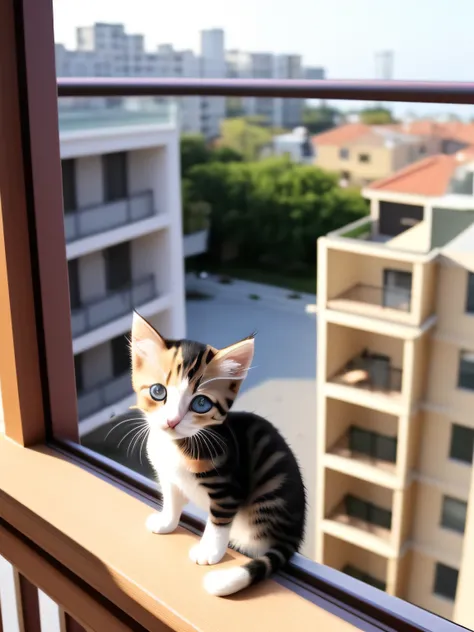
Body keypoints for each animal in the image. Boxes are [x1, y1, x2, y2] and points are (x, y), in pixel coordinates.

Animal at [131, 312, 308, 596]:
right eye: (158, 392)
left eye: (201, 403)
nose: (172, 421)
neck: (177, 445)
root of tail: (293, 533)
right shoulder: (169, 478)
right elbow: (171, 501)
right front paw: (166, 522)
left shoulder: (228, 487)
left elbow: (219, 522)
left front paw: (209, 552)